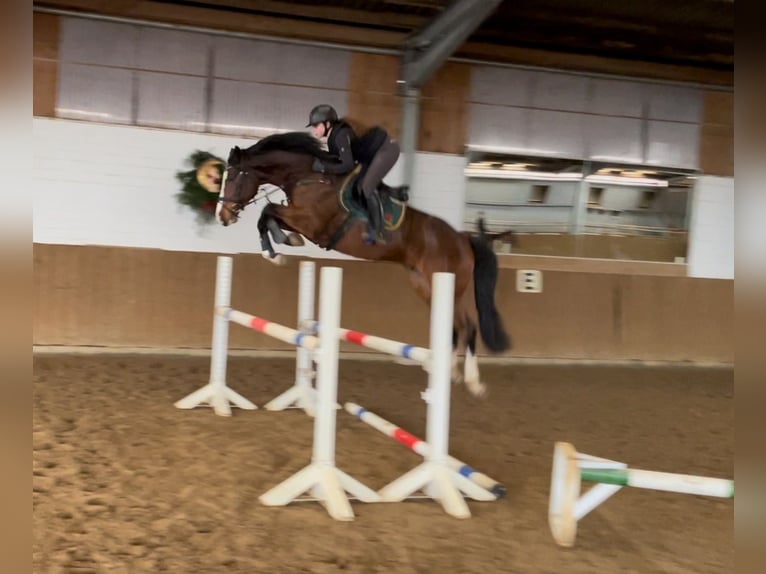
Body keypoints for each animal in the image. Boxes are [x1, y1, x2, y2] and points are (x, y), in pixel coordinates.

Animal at [216, 132, 512, 398]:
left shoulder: (311, 222)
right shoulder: (300, 219)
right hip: (425, 284)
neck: (307, 176)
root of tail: (462, 238)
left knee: (467, 326)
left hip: (446, 281)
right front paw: (280, 248)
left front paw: (281, 247)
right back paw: (446, 371)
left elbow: (268, 212)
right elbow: (268, 218)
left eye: (232, 178)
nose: (223, 216)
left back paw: (472, 381)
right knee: (453, 326)